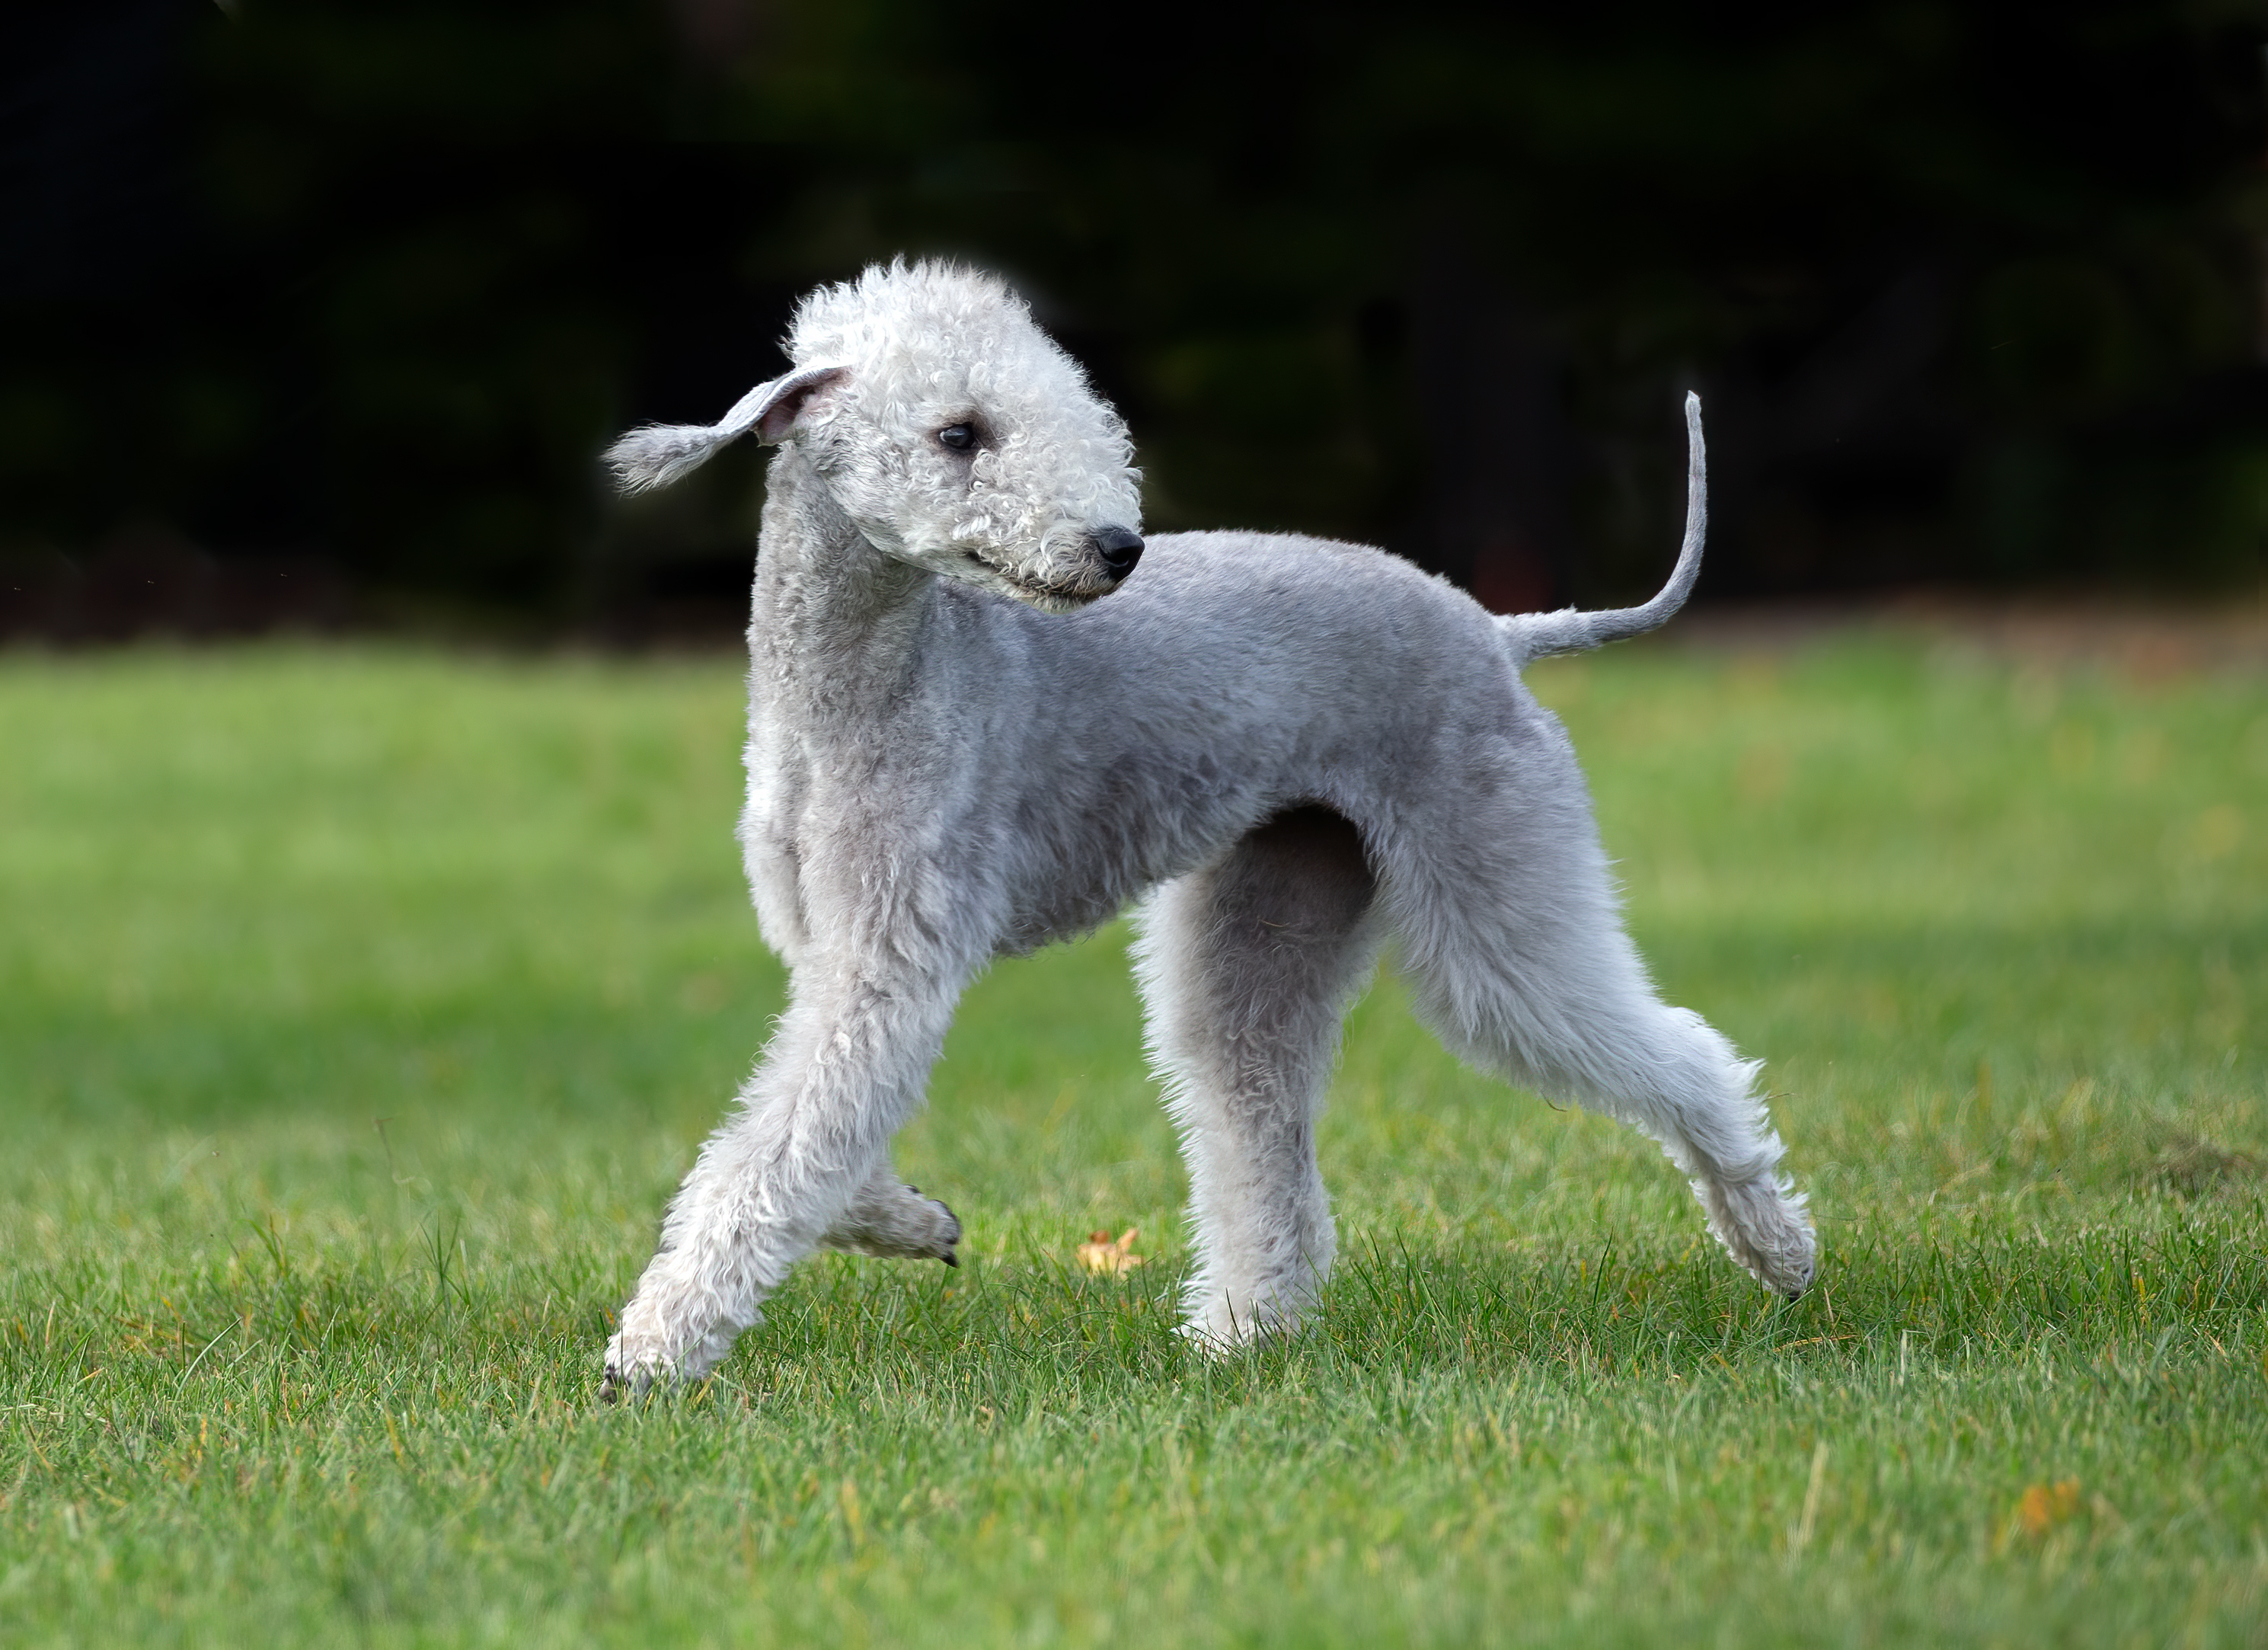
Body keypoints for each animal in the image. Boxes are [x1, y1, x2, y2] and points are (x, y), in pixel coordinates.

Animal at [594, 258, 1814, 1398]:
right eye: (958, 432)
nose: (1115, 546)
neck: (865, 683)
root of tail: (1494, 629)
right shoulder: (832, 956)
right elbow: (807, 1134)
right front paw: (911, 1220)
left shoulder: (887, 960)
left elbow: (774, 1150)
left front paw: (650, 1353)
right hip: (1270, 910)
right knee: (1262, 1130)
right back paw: (1241, 1337)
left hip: (1492, 896)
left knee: (1680, 1050)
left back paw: (1779, 1249)